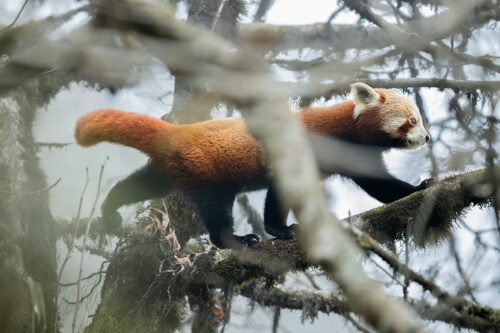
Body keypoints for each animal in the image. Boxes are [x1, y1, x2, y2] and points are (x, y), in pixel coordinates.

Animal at [73, 82, 430, 248]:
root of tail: (179, 131)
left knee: (137, 186)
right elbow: (279, 194)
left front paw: (418, 188)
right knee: (216, 208)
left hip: (171, 169)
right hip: (207, 172)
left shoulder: (358, 156)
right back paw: (234, 239)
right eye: (412, 120)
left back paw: (109, 207)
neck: (344, 131)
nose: (427, 137)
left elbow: (380, 185)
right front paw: (279, 229)